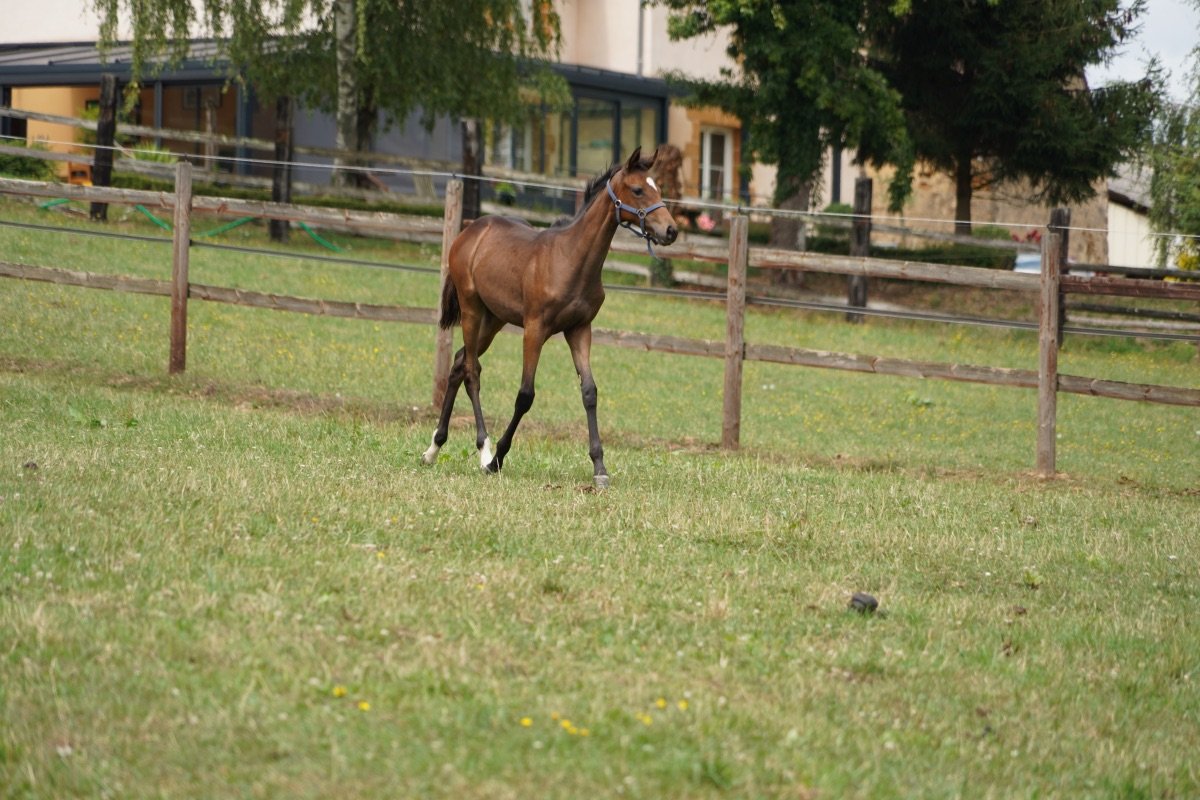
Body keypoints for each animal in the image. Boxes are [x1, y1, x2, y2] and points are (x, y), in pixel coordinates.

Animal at [421, 146, 678, 488]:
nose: (671, 230)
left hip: (494, 318)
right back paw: (483, 449)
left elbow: (589, 392)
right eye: (638, 190)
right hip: (472, 308)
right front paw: (498, 459)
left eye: (658, 188)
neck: (571, 259)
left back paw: (434, 449)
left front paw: (600, 468)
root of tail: (470, 231)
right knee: (472, 370)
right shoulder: (535, 329)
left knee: (460, 363)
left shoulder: (580, 329)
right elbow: (525, 395)